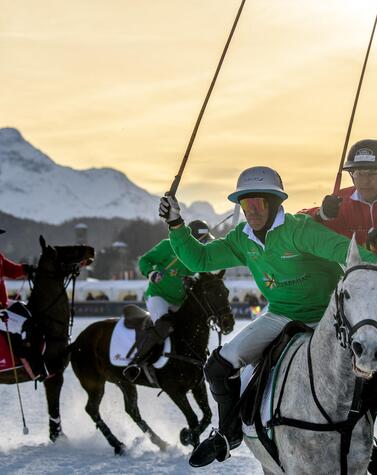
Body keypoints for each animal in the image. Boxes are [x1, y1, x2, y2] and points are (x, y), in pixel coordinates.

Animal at [0, 237, 93, 442]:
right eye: (65, 250)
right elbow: (54, 409)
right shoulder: (54, 374)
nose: (90, 248)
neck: (46, 321)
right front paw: (58, 437)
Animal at [70, 272, 234, 454]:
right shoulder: (173, 390)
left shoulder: (197, 384)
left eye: (226, 291)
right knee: (92, 409)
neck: (185, 339)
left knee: (132, 411)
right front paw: (188, 438)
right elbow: (192, 418)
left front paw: (187, 437)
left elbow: (207, 416)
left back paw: (160, 443)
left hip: (124, 381)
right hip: (94, 383)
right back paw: (117, 444)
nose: (228, 323)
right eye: (208, 292)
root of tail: (75, 342)